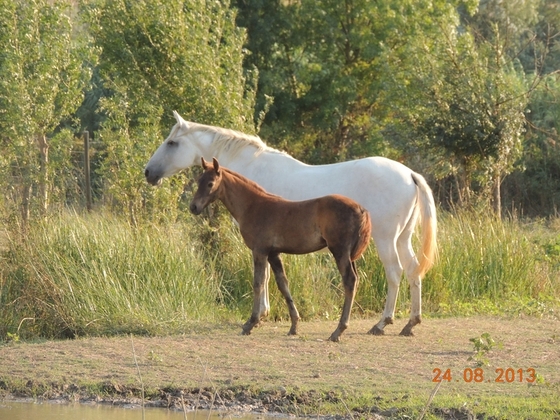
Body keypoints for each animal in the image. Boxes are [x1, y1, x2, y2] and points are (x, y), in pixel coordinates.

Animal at [145, 110, 438, 334]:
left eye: (172, 143)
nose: (148, 172)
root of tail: (409, 174)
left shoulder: (261, 246)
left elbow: (262, 278)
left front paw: (259, 316)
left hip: (385, 239)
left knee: (394, 272)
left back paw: (381, 323)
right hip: (402, 238)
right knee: (413, 270)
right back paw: (410, 323)